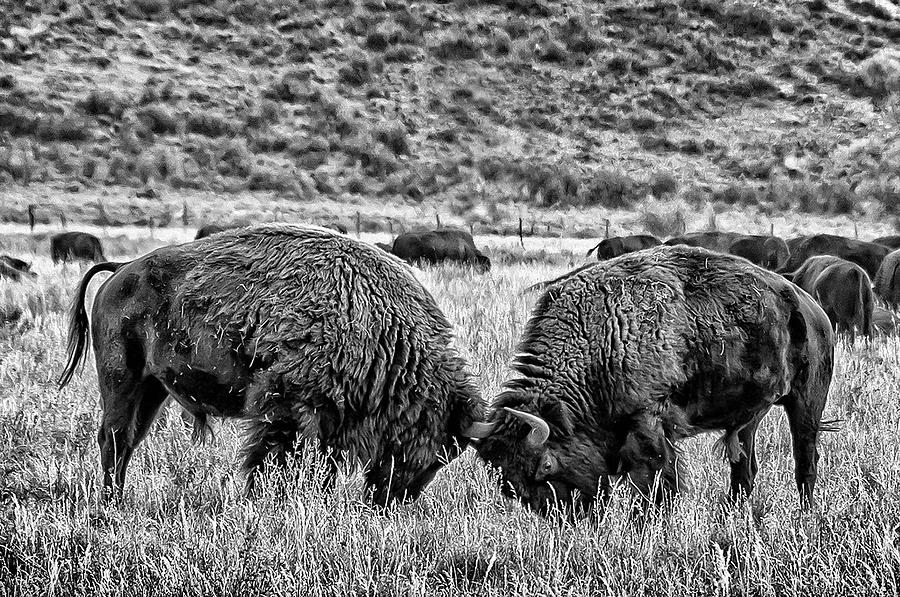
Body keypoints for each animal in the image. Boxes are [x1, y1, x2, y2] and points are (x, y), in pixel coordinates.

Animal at [58, 224, 486, 502]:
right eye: (437, 445)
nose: (392, 500)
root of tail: (120, 270)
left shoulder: (328, 418)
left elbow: (320, 466)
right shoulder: (284, 409)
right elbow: (272, 460)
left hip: (152, 388)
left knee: (129, 439)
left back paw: (117, 500)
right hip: (121, 379)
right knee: (113, 436)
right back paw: (110, 504)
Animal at [468, 244, 832, 516]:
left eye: (545, 464)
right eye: (511, 487)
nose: (572, 514)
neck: (601, 334)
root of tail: (811, 309)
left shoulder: (650, 422)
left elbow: (657, 481)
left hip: (806, 403)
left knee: (805, 461)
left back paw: (806, 514)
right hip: (748, 418)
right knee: (744, 466)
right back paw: (734, 514)